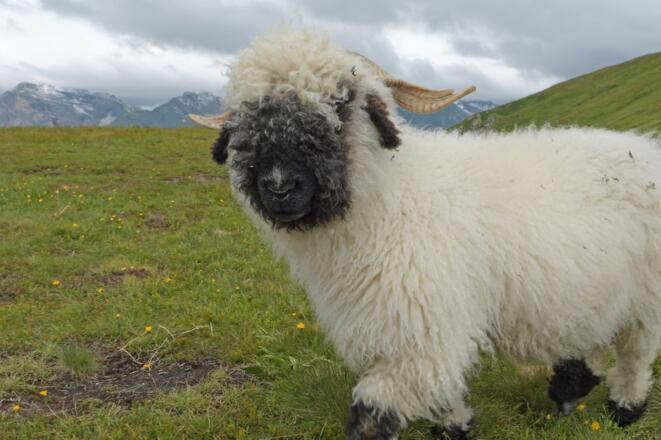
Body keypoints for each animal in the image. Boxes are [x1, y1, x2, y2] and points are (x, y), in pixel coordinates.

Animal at [190, 27, 661, 439]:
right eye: (245, 114)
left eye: (342, 103)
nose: (279, 185)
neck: (392, 197)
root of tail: (646, 147)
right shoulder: (417, 331)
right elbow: (441, 391)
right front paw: (456, 425)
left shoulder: (425, 327)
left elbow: (371, 417)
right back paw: (570, 388)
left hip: (646, 297)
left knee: (636, 356)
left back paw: (625, 408)